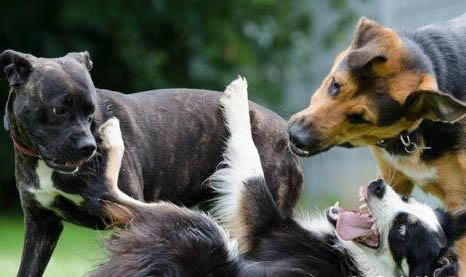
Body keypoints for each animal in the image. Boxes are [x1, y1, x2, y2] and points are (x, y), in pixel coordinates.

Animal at [0, 50, 302, 276]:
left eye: (90, 112)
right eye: (58, 110)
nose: (89, 147)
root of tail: (285, 133)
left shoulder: (124, 222)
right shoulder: (41, 225)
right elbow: (28, 269)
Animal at [90, 76, 466, 276]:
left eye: (402, 231)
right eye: (406, 198)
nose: (377, 186)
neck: (362, 264)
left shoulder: (264, 224)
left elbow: (249, 165)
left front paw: (237, 99)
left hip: (203, 232)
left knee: (114, 196)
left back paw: (111, 136)